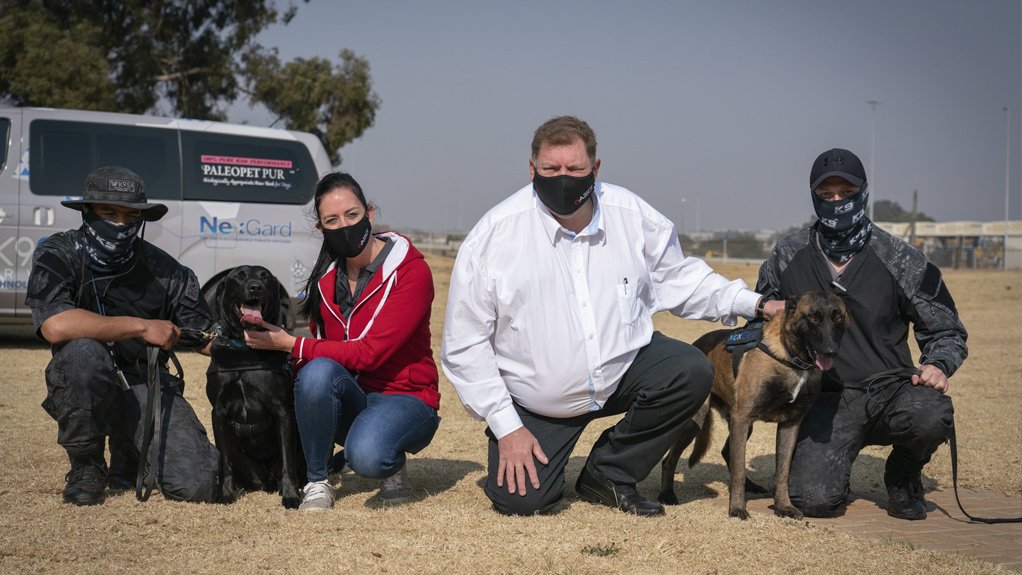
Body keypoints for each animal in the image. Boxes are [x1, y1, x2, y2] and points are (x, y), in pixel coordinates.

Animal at [206, 265, 302, 508]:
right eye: (239, 276)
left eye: (265, 276)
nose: (256, 287)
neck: (245, 348)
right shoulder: (218, 412)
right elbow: (225, 462)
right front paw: (226, 493)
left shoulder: (282, 411)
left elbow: (288, 462)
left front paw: (291, 496)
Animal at [658, 292, 850, 522]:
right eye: (813, 317)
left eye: (838, 317)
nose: (831, 351)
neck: (791, 358)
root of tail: (698, 344)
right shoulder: (742, 417)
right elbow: (739, 471)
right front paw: (737, 509)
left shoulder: (790, 424)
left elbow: (783, 472)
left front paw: (784, 506)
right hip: (697, 422)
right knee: (670, 459)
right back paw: (667, 495)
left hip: (740, 425)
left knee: (727, 452)